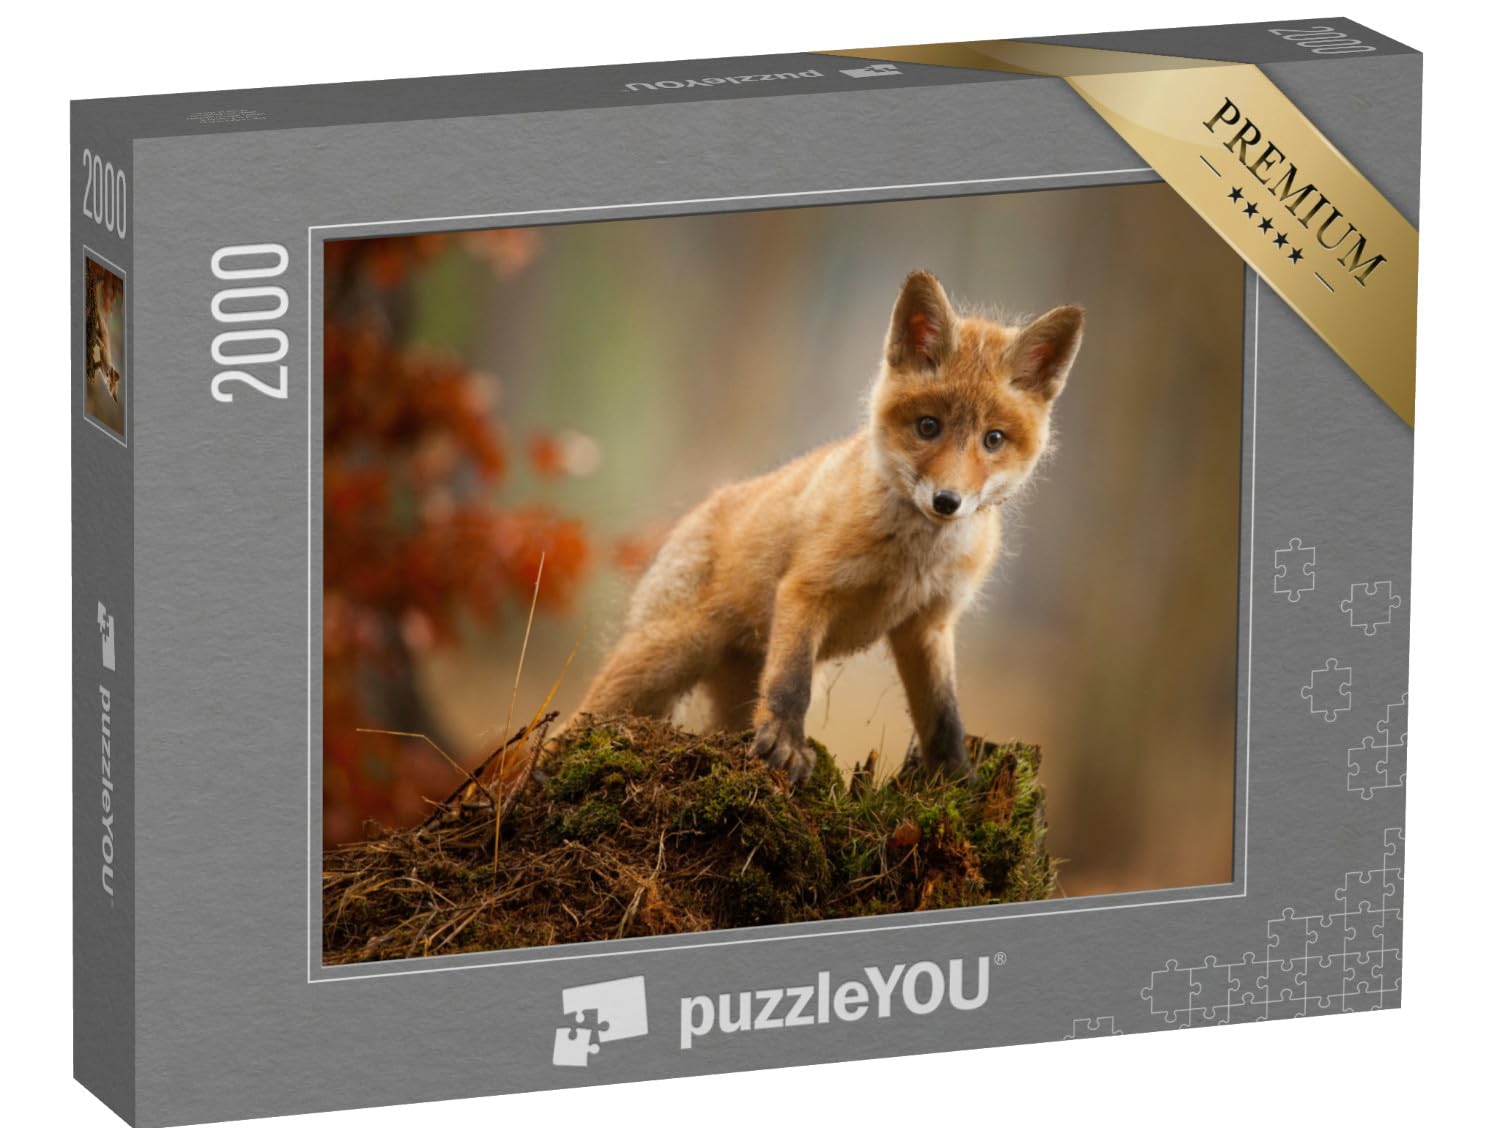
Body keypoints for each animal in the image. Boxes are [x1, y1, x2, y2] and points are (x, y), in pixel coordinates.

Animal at [575, 270, 1084, 781]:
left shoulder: (928, 624)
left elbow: (943, 715)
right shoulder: (807, 590)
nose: (947, 501)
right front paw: (785, 745)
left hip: (730, 689)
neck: (913, 559)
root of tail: (698, 510)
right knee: (579, 719)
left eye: (993, 439)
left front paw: (955, 778)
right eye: (928, 426)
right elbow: (791, 684)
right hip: (664, 657)